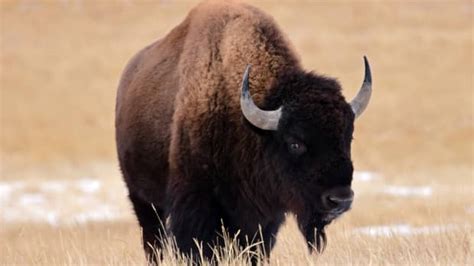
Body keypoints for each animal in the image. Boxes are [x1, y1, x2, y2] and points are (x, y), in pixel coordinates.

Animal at [114, 0, 370, 262]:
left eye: (347, 137)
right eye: (295, 143)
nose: (340, 199)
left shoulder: (262, 219)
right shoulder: (197, 206)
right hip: (143, 201)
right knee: (153, 240)